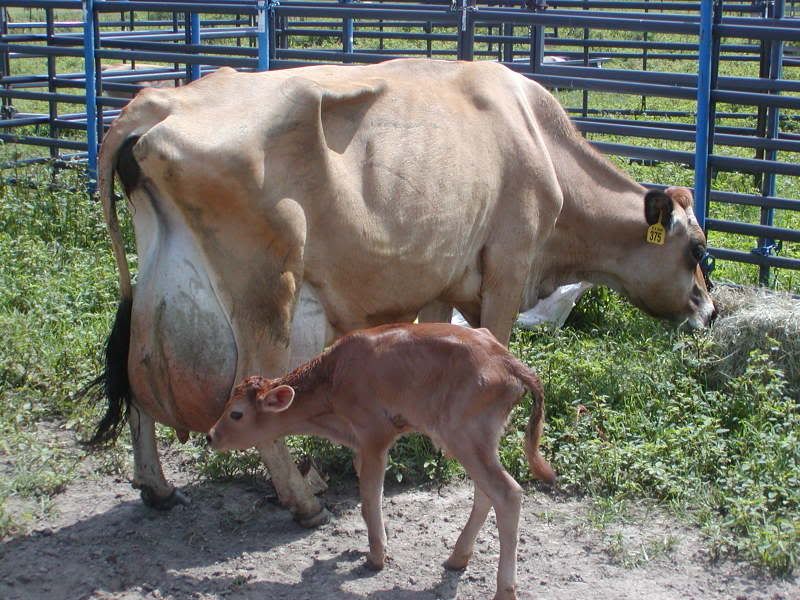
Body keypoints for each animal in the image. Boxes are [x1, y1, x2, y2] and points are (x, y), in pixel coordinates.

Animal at [91, 58, 714, 526]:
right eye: (697, 249)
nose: (710, 311)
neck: (538, 139)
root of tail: (158, 104)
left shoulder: (441, 276)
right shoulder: (508, 266)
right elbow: (497, 344)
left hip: (156, 292)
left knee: (136, 376)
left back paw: (158, 487)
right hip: (269, 295)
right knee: (249, 392)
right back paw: (303, 501)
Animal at [207, 322, 556, 600]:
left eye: (236, 413)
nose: (210, 436)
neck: (332, 381)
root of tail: (508, 360)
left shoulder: (375, 434)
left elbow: (369, 500)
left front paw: (375, 557)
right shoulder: (361, 444)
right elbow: (368, 490)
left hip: (464, 435)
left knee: (507, 493)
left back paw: (504, 590)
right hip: (479, 439)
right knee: (486, 491)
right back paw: (458, 557)